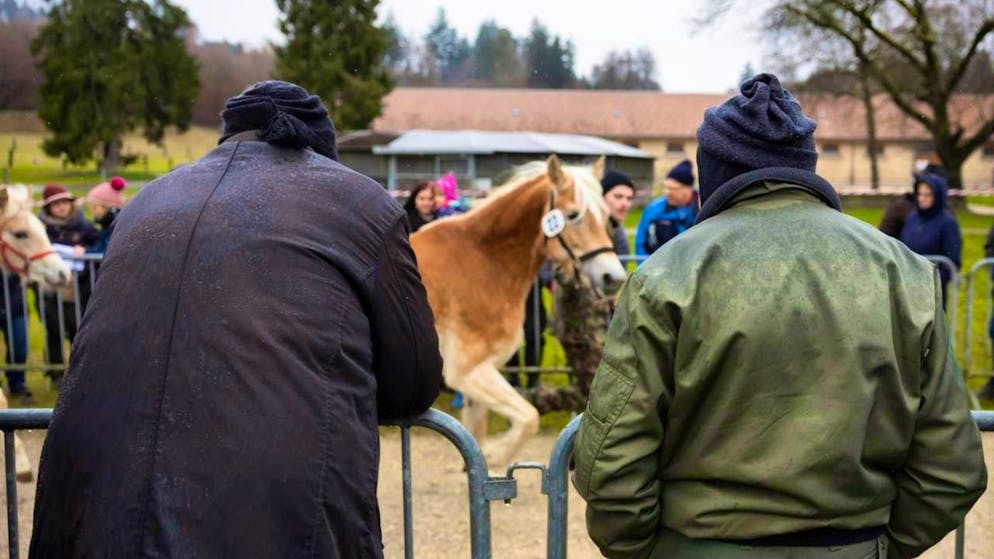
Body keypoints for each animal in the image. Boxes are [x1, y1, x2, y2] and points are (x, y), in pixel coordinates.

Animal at [410, 155, 626, 466]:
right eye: (573, 214)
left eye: (607, 215)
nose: (613, 278)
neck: (484, 259)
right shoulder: (468, 371)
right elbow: (529, 418)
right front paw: (498, 453)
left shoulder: (479, 378)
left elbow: (477, 439)